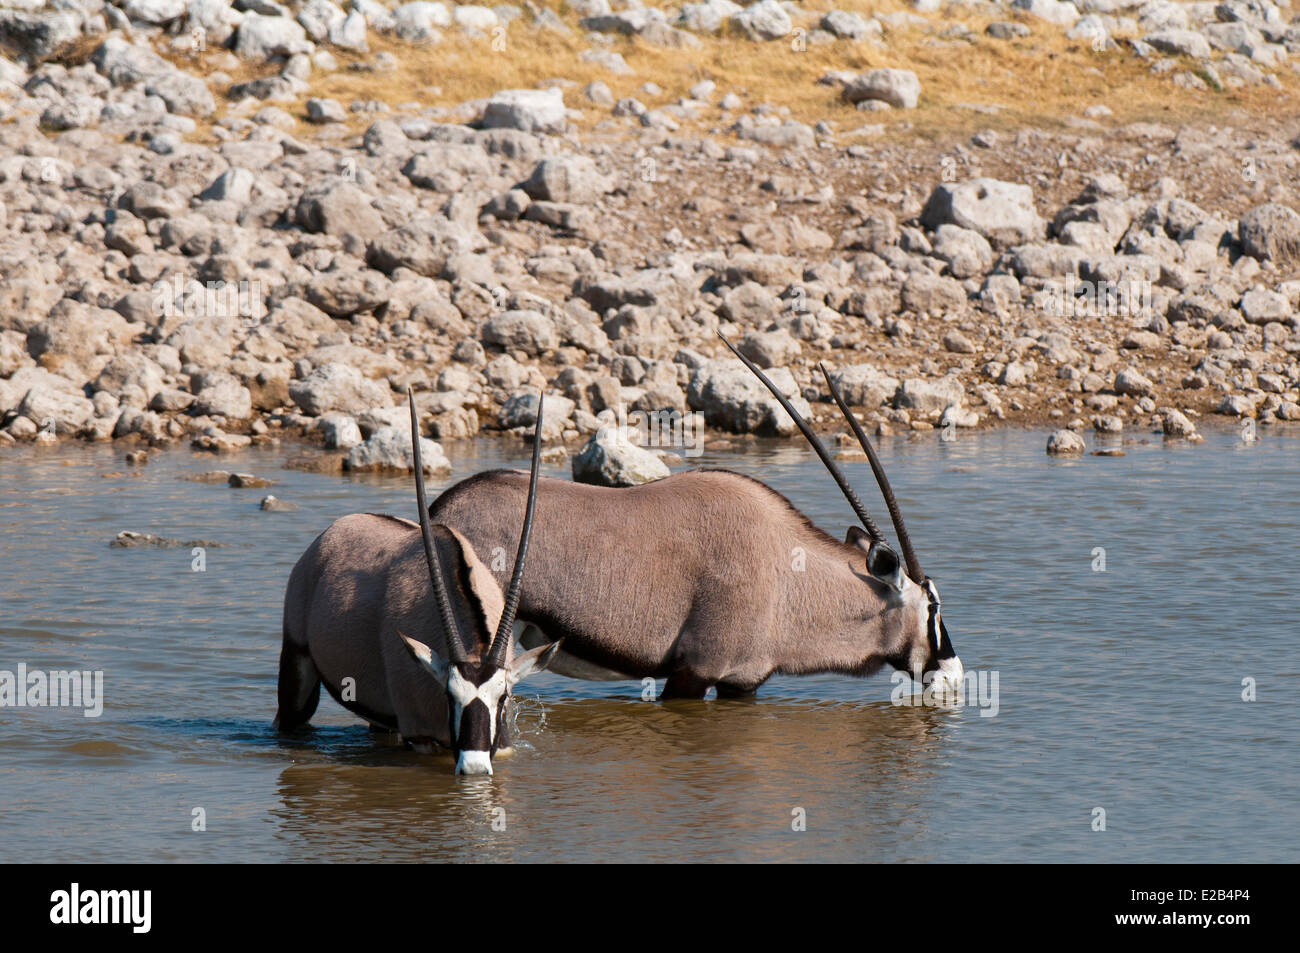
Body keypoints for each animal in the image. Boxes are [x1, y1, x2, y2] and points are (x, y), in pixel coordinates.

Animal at [274, 387, 559, 774]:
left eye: (503, 696)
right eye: (449, 694)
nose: (473, 767)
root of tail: (331, 534)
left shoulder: (499, 744)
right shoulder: (419, 736)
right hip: (297, 665)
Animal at [421, 335, 961, 696]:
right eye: (932, 608)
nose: (953, 674)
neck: (787, 573)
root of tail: (439, 511)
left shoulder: (742, 685)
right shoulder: (693, 673)